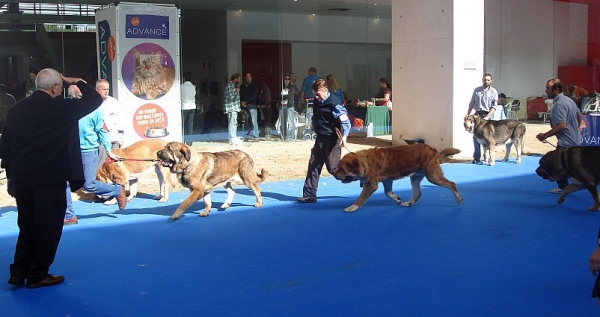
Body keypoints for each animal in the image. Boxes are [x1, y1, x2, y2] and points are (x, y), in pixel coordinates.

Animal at [332, 143, 464, 212]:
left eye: (341, 168)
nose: (333, 173)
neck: (365, 161)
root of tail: (434, 150)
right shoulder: (387, 181)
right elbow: (388, 193)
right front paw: (397, 198)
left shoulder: (371, 185)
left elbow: (361, 197)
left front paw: (352, 207)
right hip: (415, 177)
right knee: (418, 193)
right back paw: (409, 203)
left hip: (432, 175)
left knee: (451, 184)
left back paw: (459, 198)